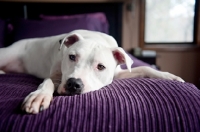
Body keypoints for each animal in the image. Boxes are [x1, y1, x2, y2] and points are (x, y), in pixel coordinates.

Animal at [0, 29, 184, 113]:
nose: (73, 84)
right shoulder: (56, 76)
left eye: (100, 67)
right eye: (72, 57)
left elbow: (145, 67)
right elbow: (48, 82)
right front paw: (39, 96)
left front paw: (170, 76)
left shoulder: (118, 74)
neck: (94, 38)